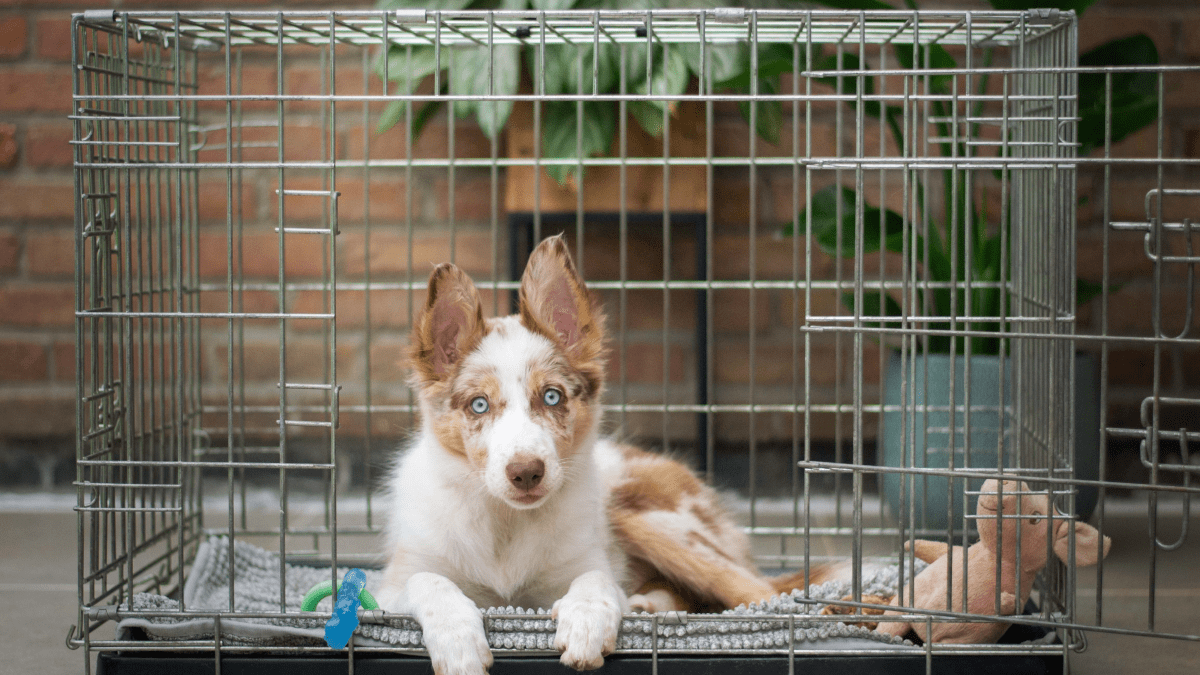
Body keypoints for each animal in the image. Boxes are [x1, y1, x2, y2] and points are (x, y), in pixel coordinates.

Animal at [376, 235, 825, 672]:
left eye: (552, 396)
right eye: (479, 405)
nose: (526, 473)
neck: (506, 524)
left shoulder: (585, 561)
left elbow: (596, 580)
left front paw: (585, 623)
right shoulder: (392, 586)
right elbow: (429, 582)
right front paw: (458, 641)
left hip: (648, 516)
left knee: (759, 592)